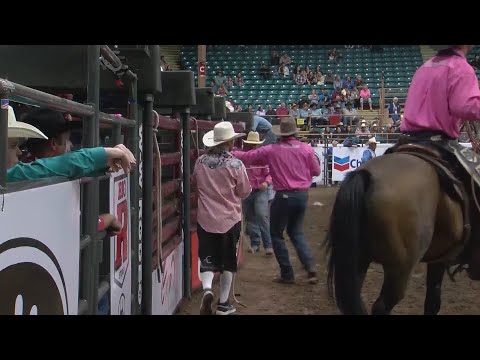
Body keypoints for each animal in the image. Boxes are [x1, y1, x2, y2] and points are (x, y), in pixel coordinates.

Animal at [324, 147, 480, 316]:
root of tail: (367, 176)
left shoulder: (439, 259)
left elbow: (432, 300)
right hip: (399, 269)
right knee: (382, 306)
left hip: (358, 261)